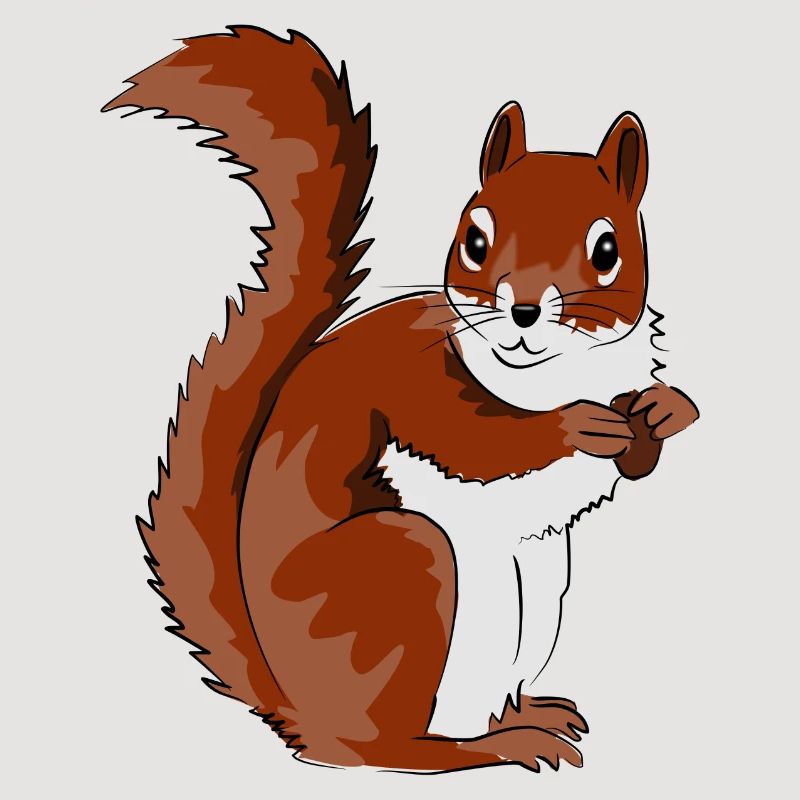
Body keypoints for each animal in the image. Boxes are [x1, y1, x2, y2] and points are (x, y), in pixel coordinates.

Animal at [104, 25, 699, 773]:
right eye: (475, 239)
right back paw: (486, 747)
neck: (549, 374)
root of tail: (298, 713)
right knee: (387, 747)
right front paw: (574, 428)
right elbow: (478, 443)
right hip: (407, 572)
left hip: (535, 593)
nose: (524, 311)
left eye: (608, 250)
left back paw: (526, 716)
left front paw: (665, 411)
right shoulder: (414, 383)